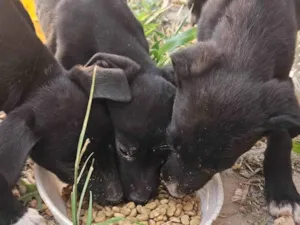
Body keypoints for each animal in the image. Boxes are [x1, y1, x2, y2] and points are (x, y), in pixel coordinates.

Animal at [163, 0, 300, 222]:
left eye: (216, 166)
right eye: (173, 144)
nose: (173, 189)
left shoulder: (281, 87)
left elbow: (281, 139)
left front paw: (284, 195)